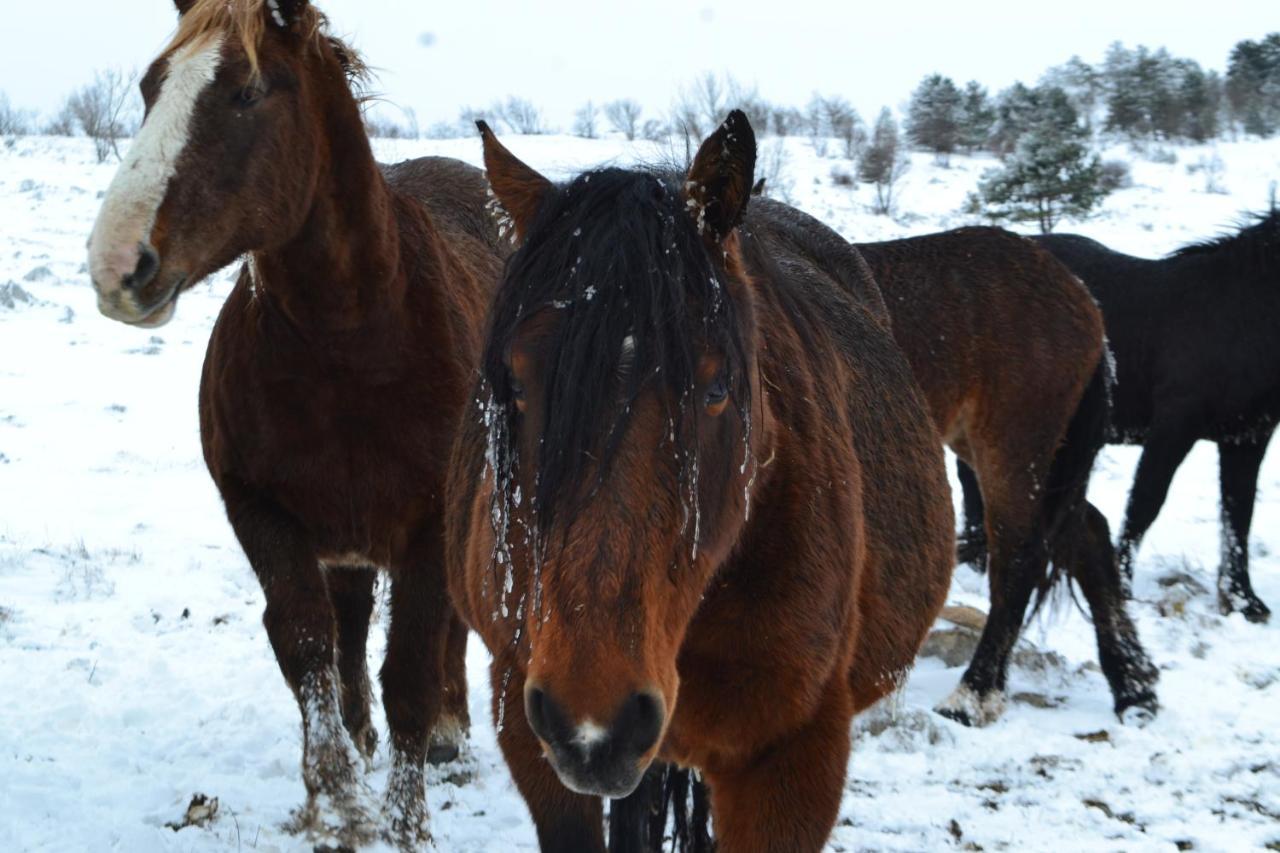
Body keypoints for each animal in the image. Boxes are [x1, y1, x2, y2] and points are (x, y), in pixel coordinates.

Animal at [85, 0, 499, 845]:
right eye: (150, 87)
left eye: (246, 93)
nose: (116, 267)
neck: (349, 339)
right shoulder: (264, 511)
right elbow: (306, 642)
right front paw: (335, 795)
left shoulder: (432, 523)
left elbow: (412, 665)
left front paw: (406, 821)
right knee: (351, 622)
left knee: (445, 635)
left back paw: (448, 734)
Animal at [849, 227, 1162, 722]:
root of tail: (1080, 295)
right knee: (1089, 535)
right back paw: (1133, 687)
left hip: (1013, 452)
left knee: (1020, 561)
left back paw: (975, 694)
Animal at [952, 212, 1280, 622]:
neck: (1238, 313)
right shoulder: (1175, 426)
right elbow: (1145, 503)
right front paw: (1120, 584)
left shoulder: (1247, 439)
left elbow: (1238, 516)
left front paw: (1242, 599)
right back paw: (979, 554)